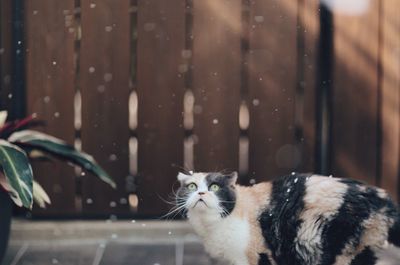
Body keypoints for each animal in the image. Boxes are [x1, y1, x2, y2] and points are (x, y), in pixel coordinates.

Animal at [175, 171, 400, 264]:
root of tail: (381, 197)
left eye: (214, 187)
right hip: (359, 251)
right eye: (192, 186)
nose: (201, 193)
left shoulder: (251, 257)